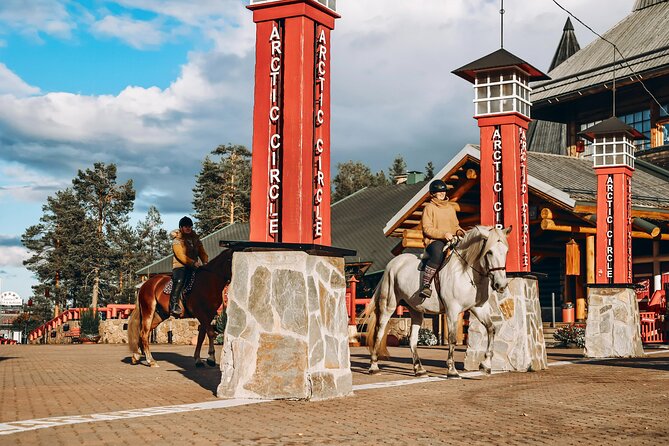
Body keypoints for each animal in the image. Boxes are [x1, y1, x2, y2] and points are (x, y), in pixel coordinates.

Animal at [362, 226, 508, 376]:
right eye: (489, 252)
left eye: (506, 251)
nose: (501, 285)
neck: (466, 273)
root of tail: (393, 263)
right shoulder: (452, 310)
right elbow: (452, 338)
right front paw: (452, 370)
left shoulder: (479, 308)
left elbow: (491, 329)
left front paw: (486, 365)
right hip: (389, 305)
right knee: (379, 332)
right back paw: (374, 366)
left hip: (416, 310)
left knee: (412, 339)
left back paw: (419, 369)